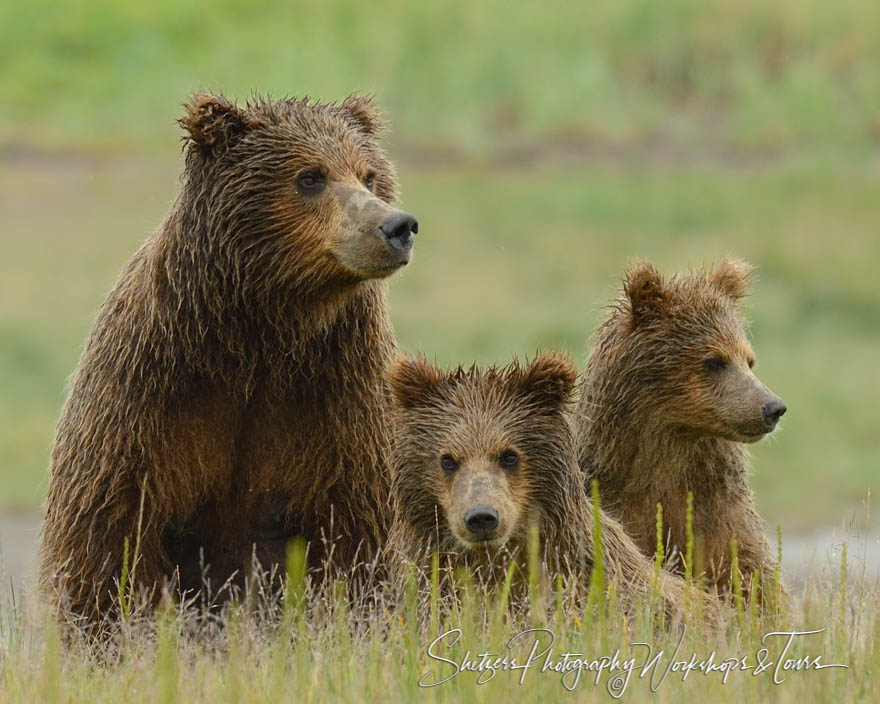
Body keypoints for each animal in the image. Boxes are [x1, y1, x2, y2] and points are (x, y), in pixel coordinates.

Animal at [37, 89, 416, 628]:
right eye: (310, 176)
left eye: (368, 174)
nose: (396, 225)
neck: (260, 336)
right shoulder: (149, 394)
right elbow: (109, 533)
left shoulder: (339, 393)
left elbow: (357, 534)